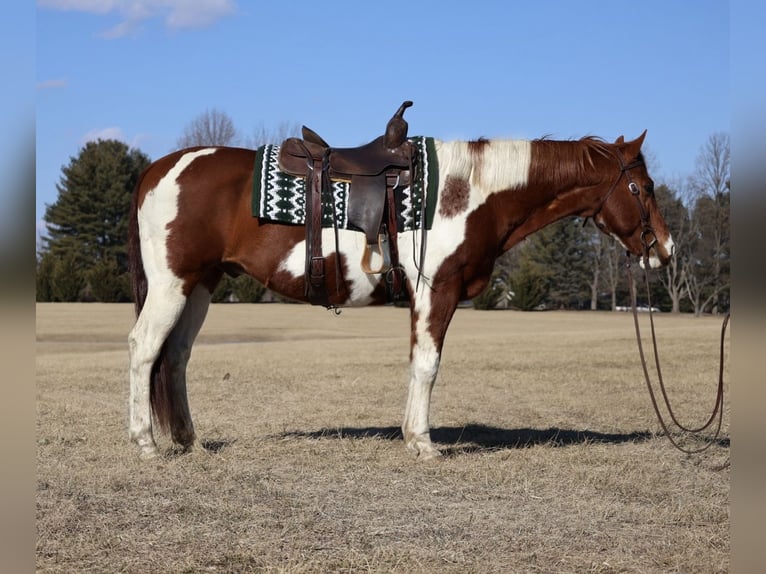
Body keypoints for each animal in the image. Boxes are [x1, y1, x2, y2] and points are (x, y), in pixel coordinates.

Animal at [129, 111, 676, 464]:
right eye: (644, 188)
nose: (665, 249)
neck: (471, 193)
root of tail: (157, 168)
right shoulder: (438, 290)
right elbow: (428, 365)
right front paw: (423, 443)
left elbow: (417, 364)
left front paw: (413, 436)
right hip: (172, 285)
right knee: (144, 349)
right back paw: (146, 443)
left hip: (200, 286)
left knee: (175, 357)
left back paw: (190, 442)